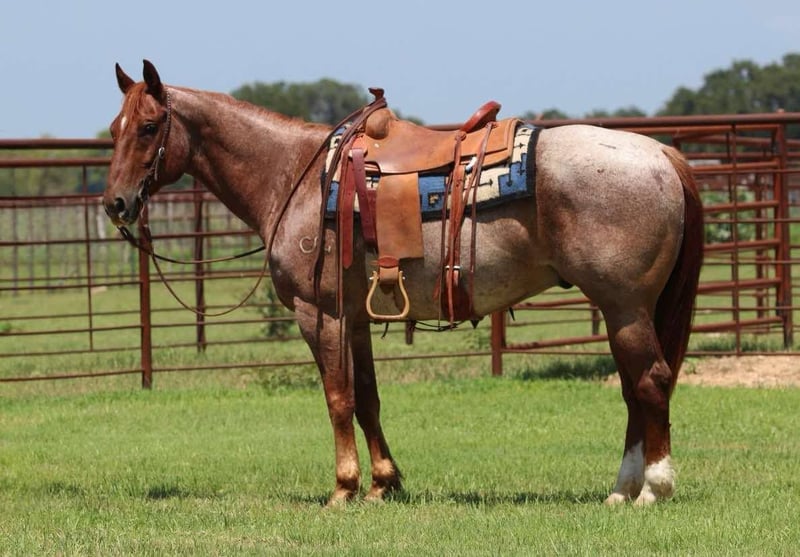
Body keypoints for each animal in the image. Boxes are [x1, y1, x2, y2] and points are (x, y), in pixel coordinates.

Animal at [103, 60, 703, 506]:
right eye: (114, 130)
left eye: (150, 127)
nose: (116, 203)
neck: (296, 175)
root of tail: (660, 153)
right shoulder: (355, 316)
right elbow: (368, 395)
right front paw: (383, 483)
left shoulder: (318, 312)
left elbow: (338, 396)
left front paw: (343, 488)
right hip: (625, 310)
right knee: (634, 388)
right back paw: (621, 490)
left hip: (624, 307)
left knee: (650, 382)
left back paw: (653, 489)